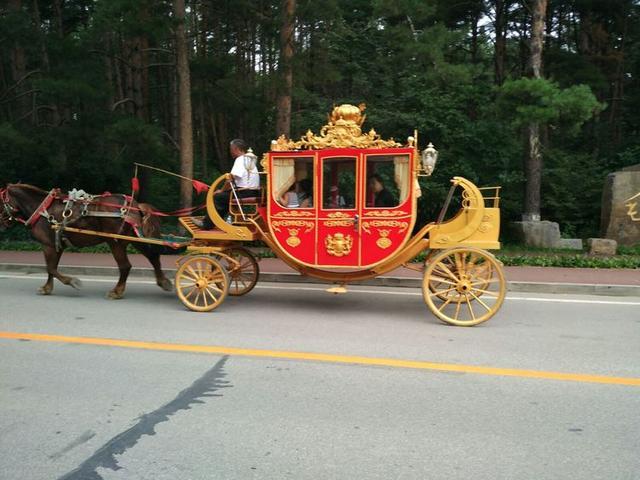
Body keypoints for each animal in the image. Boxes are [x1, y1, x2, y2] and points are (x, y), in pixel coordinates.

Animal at [0, 185, 172, 300]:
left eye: (0, 202)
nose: (1, 224)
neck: (42, 209)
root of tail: (135, 205)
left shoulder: (48, 245)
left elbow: (51, 268)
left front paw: (72, 281)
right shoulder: (57, 244)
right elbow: (52, 268)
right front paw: (47, 288)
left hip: (115, 242)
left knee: (125, 266)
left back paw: (117, 291)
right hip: (134, 238)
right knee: (153, 257)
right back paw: (163, 281)